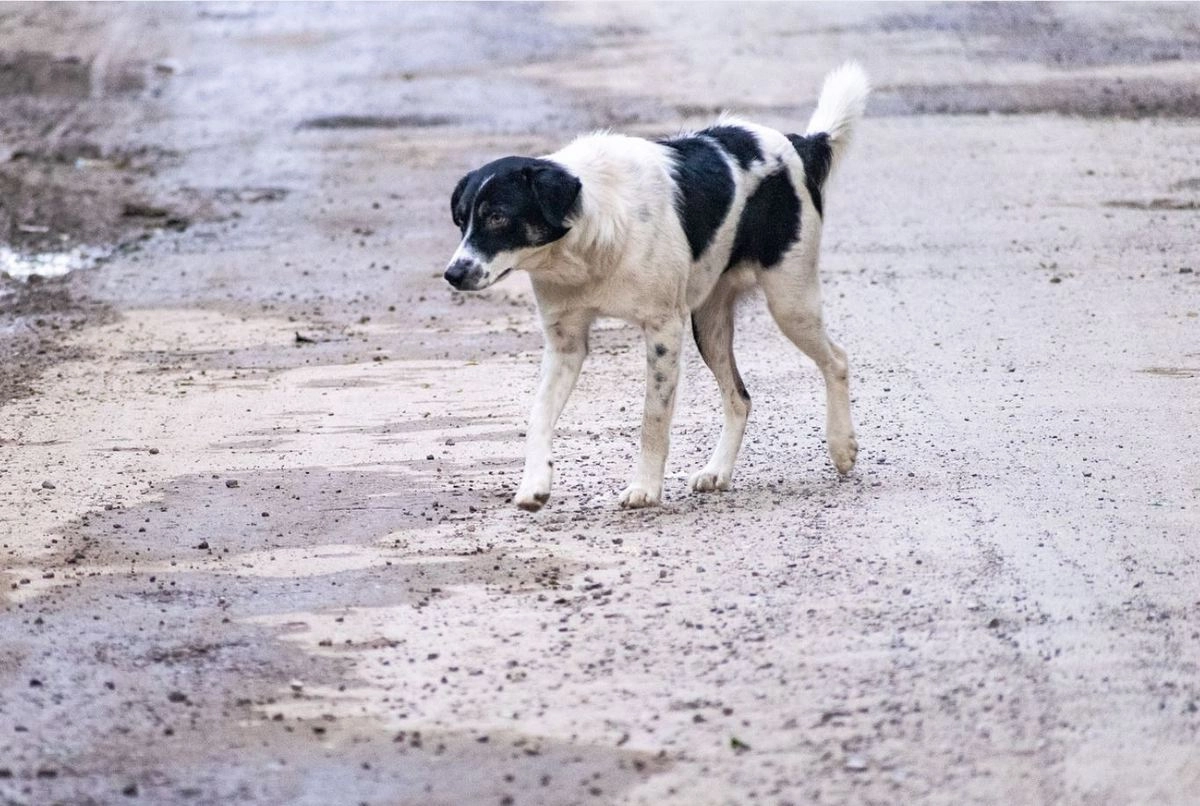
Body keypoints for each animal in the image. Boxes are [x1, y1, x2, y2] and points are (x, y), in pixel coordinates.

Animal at [446, 62, 868, 510]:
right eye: (461, 220)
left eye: (497, 217)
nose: (452, 274)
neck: (586, 239)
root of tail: (798, 143)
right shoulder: (565, 343)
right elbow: (538, 414)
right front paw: (535, 484)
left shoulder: (664, 329)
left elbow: (654, 417)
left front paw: (645, 487)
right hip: (710, 323)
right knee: (739, 398)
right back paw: (718, 471)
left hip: (789, 300)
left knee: (836, 360)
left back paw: (842, 446)